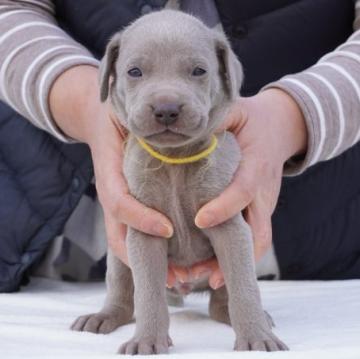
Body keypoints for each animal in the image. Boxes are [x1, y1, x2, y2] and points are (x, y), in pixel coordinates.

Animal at [71, 9, 288, 356]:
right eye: (134, 71)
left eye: (198, 70)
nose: (166, 109)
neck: (175, 160)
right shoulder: (145, 228)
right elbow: (148, 294)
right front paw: (146, 341)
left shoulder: (230, 225)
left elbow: (244, 288)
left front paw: (257, 338)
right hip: (118, 253)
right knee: (121, 291)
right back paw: (103, 317)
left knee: (221, 302)